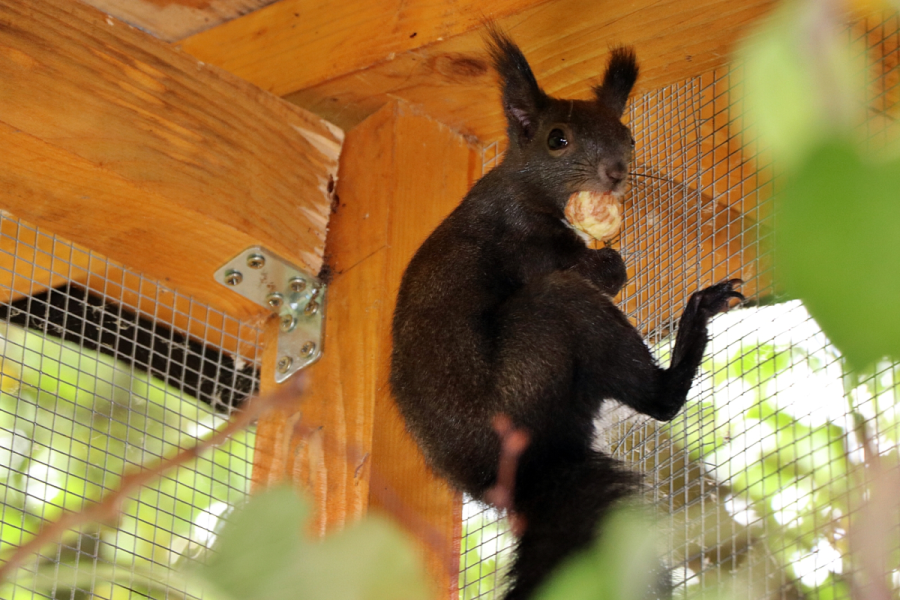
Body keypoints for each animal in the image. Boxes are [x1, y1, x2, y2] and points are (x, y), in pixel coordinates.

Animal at [390, 29, 740, 600]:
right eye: (557, 139)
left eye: (629, 137)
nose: (616, 173)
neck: (528, 186)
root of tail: (533, 469)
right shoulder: (521, 238)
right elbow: (595, 269)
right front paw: (611, 262)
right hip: (547, 334)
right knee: (660, 400)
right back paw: (694, 324)